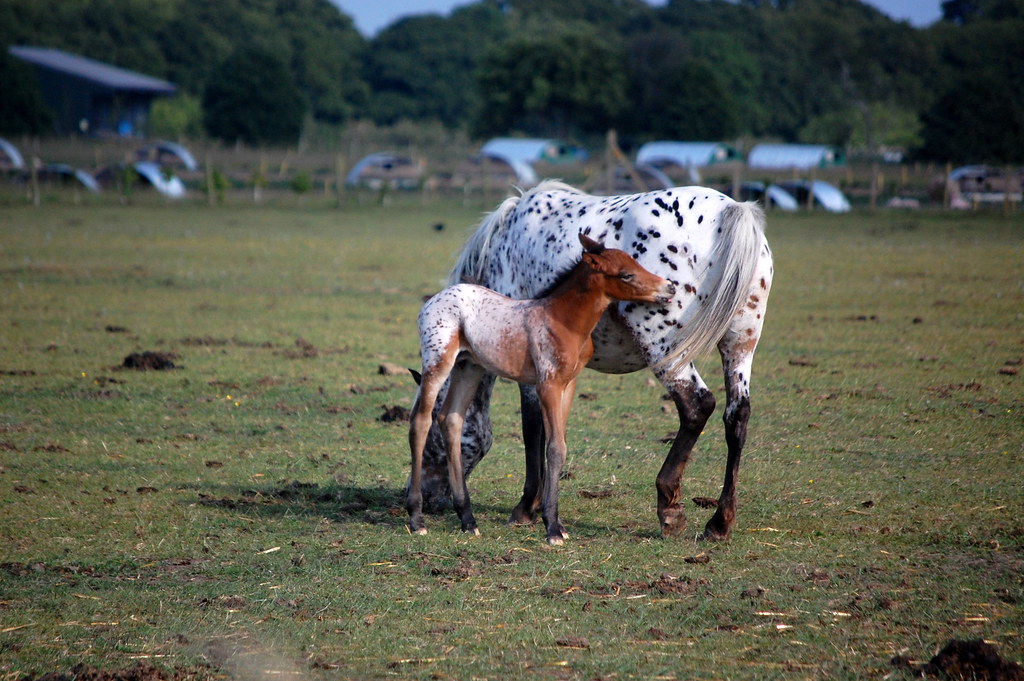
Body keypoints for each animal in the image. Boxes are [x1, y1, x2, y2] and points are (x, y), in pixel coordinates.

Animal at [411, 180, 770, 540]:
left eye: (433, 443)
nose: (427, 497)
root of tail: (730, 210)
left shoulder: (532, 371)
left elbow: (533, 430)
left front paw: (527, 508)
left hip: (666, 348)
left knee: (697, 405)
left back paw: (669, 506)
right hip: (740, 344)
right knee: (736, 416)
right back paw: (720, 521)